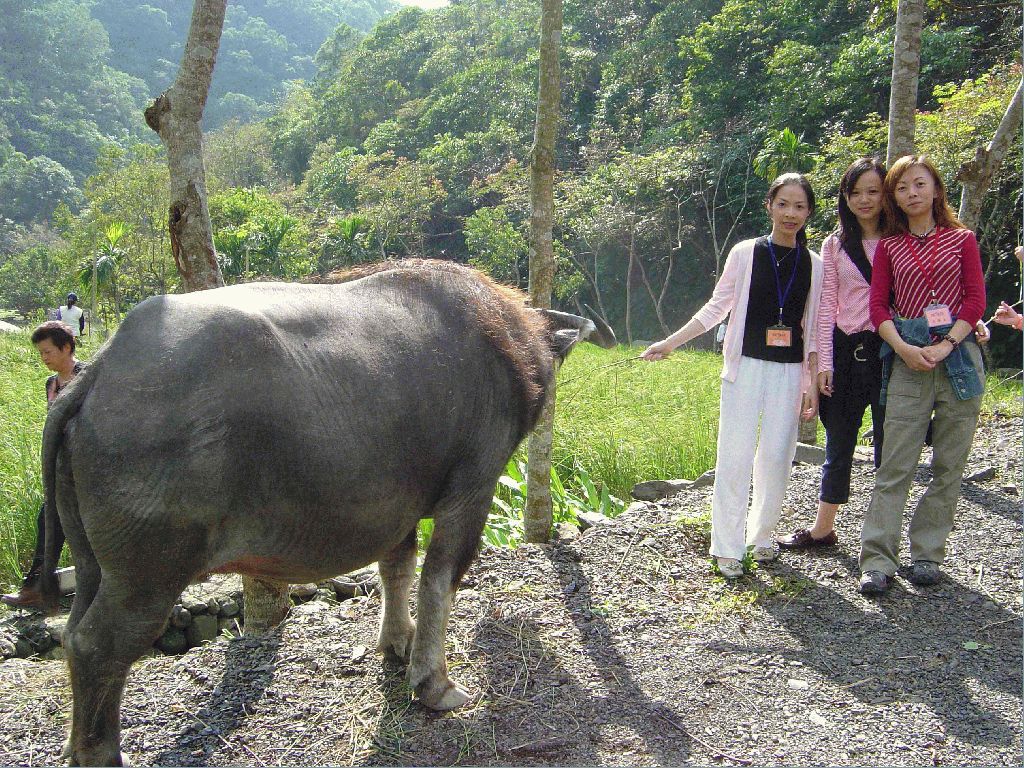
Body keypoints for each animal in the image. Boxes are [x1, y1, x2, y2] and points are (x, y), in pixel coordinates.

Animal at [39, 262, 610, 765]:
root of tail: (98, 376)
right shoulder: (473, 488)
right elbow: (439, 578)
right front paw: (434, 684)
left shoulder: (396, 507)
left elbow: (397, 567)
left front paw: (397, 644)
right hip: (149, 573)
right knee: (96, 645)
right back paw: (99, 752)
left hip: (94, 563)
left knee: (72, 630)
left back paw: (72, 741)